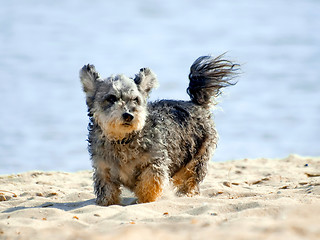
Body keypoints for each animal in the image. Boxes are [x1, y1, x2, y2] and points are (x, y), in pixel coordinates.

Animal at [79, 54, 238, 206]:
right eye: (111, 98)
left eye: (135, 99)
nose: (129, 115)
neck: (123, 140)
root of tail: (196, 103)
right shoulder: (103, 171)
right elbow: (107, 193)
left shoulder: (155, 164)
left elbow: (149, 186)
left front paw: (144, 200)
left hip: (197, 160)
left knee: (191, 180)